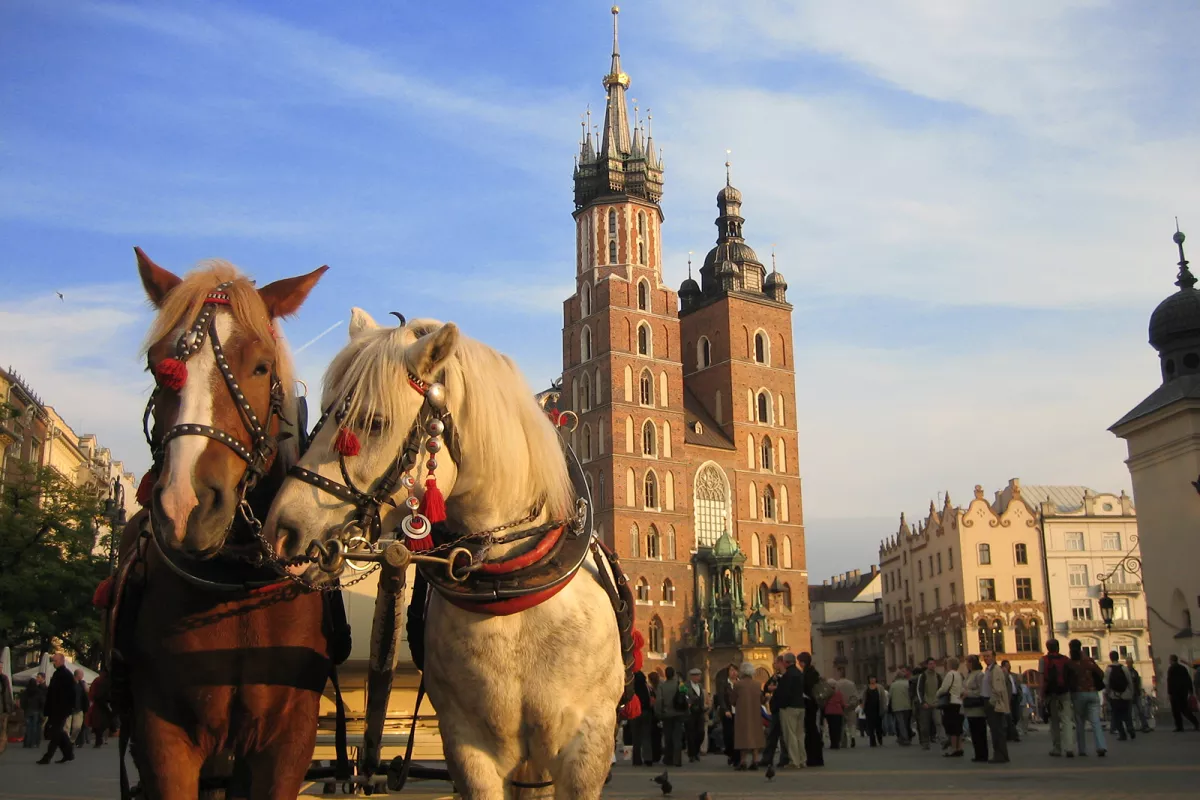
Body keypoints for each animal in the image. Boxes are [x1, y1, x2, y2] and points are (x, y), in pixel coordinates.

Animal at [112, 249, 331, 800]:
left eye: (261, 366)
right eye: (158, 366)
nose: (185, 505)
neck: (236, 586)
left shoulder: (287, 738)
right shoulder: (162, 736)